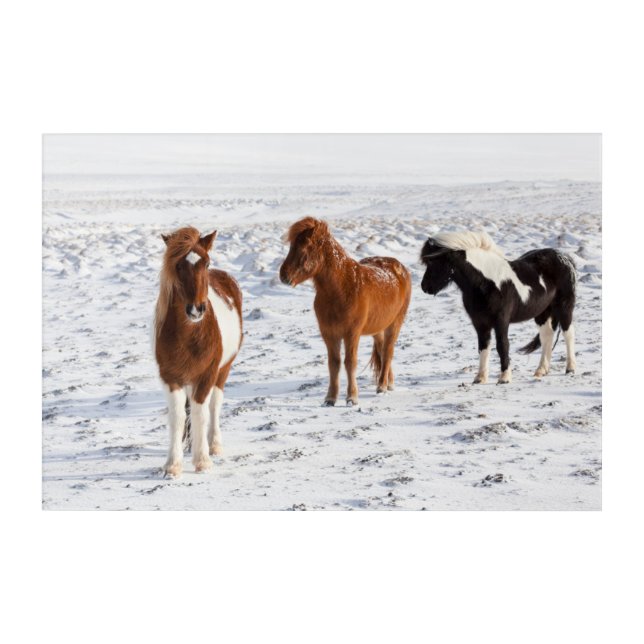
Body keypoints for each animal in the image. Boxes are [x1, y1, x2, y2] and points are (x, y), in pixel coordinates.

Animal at [154, 226, 242, 477]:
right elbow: (178, 416)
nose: (196, 309)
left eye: (207, 263)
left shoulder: (206, 376)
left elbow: (200, 413)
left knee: (214, 404)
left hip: (222, 371)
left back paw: (214, 445)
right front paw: (172, 465)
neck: (189, 336)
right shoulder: (170, 378)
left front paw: (202, 461)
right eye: (178, 266)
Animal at [279, 217, 412, 406]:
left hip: (395, 324)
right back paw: (388, 383)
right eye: (291, 247)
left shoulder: (351, 333)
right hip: (378, 328)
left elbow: (350, 363)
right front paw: (330, 398)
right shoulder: (329, 333)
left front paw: (352, 397)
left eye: (304, 249)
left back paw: (382, 386)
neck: (342, 289)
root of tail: (400, 268)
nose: (283, 276)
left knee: (388, 352)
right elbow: (333, 364)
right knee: (382, 350)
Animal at [420, 231, 576, 384]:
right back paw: (541, 371)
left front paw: (504, 378)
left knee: (568, 334)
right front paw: (480, 378)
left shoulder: (501, 320)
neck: (486, 283)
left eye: (434, 262)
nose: (425, 287)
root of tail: (565, 258)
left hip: (564, 307)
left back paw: (570, 369)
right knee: (547, 336)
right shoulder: (480, 322)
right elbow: (483, 346)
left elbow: (502, 345)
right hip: (542, 313)